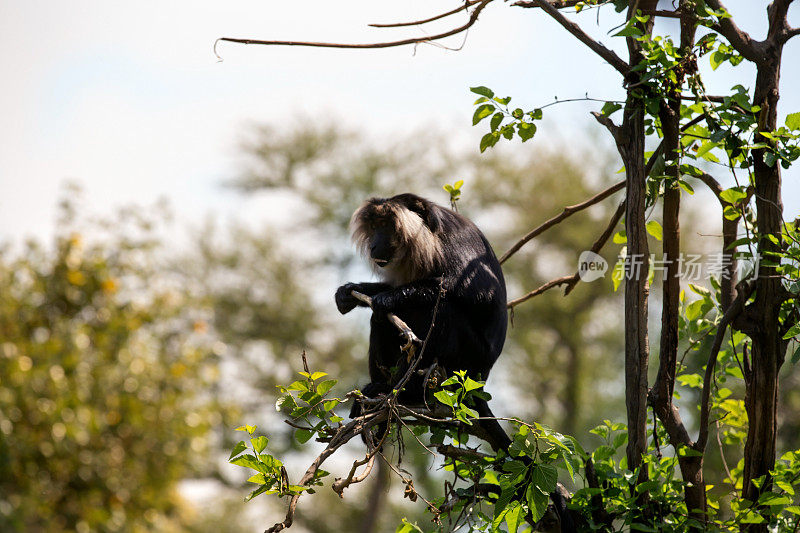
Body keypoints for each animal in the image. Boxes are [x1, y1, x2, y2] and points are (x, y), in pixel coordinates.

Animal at [332, 193, 510, 450]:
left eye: (385, 225)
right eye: (374, 227)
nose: (374, 244)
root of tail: (481, 380)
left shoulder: (454, 241)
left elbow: (474, 293)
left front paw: (387, 299)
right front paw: (349, 292)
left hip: (468, 361)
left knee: (443, 309)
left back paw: (404, 393)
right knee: (381, 320)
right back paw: (381, 392)